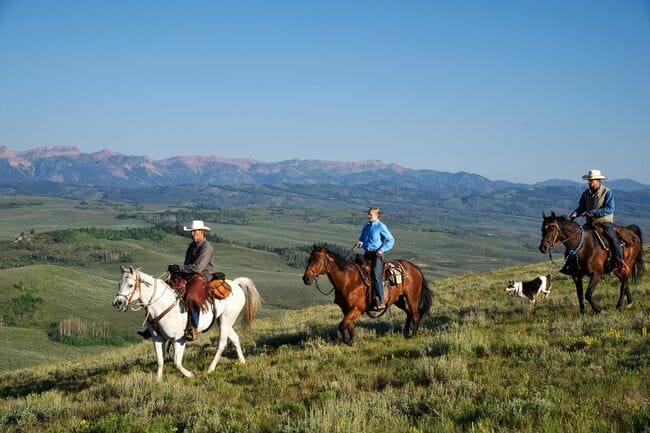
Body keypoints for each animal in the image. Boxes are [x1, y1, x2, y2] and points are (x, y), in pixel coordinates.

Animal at [112, 264, 260, 380]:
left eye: (130, 285)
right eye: (119, 284)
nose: (118, 303)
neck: (161, 305)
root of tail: (236, 284)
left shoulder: (179, 339)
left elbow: (177, 363)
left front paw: (190, 375)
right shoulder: (157, 338)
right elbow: (160, 360)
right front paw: (158, 381)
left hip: (225, 321)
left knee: (222, 344)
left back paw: (210, 369)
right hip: (223, 321)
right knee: (235, 338)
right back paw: (242, 362)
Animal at [302, 246, 432, 344]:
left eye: (317, 260)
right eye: (308, 259)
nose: (306, 278)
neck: (348, 280)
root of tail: (415, 267)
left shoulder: (358, 308)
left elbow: (342, 324)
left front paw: (347, 341)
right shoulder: (346, 308)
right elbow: (350, 325)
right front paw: (352, 341)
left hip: (412, 297)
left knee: (415, 315)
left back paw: (413, 336)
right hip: (398, 299)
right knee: (409, 313)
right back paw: (405, 333)